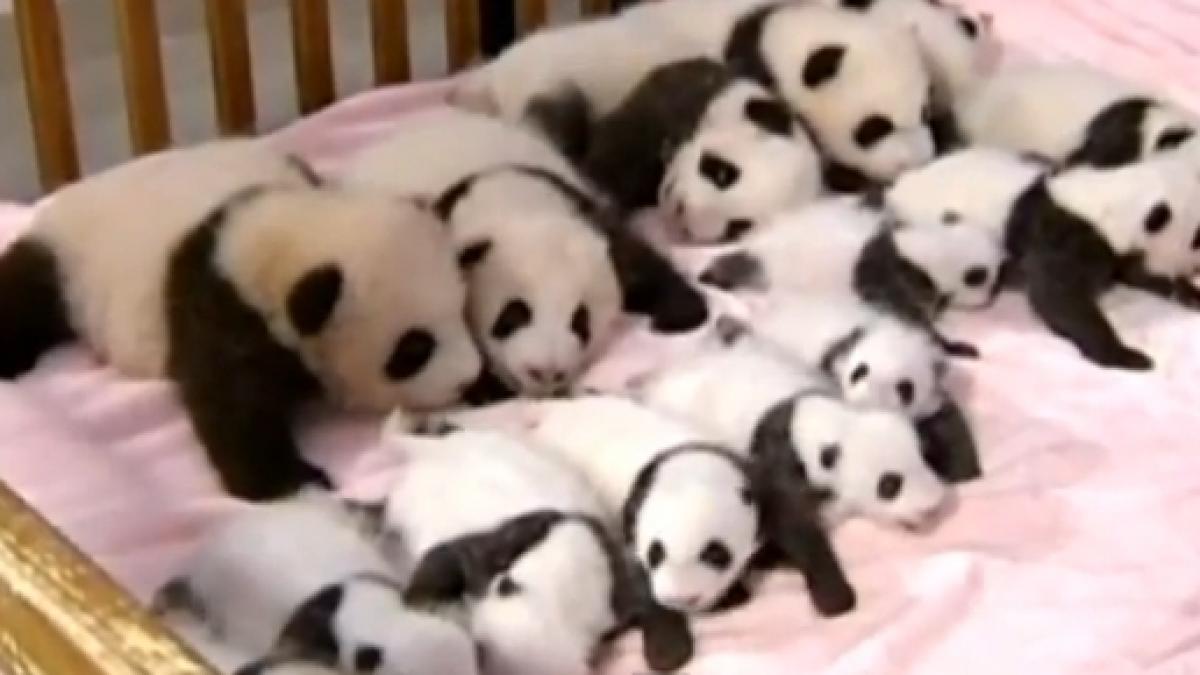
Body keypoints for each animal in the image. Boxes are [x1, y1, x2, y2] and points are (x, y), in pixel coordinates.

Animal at [0, 140, 481, 500]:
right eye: (414, 349)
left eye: (461, 311)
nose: (467, 379)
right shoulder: (221, 309)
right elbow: (231, 401)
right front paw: (289, 483)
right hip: (72, 264)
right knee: (27, 292)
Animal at [344, 107, 708, 401]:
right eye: (513, 314)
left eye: (581, 321)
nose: (546, 372)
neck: (518, 202)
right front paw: (487, 387)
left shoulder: (586, 212)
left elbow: (637, 262)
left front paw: (680, 313)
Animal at [378, 421, 695, 675]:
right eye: (504, 584)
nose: (479, 646)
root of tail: (437, 448)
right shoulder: (502, 540)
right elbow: (447, 558)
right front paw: (419, 601)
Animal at [885, 147, 1200, 369]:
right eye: (1198, 237)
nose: (1196, 264)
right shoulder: (1062, 239)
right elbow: (1059, 300)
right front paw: (1123, 355)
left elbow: (1135, 271)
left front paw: (1187, 292)